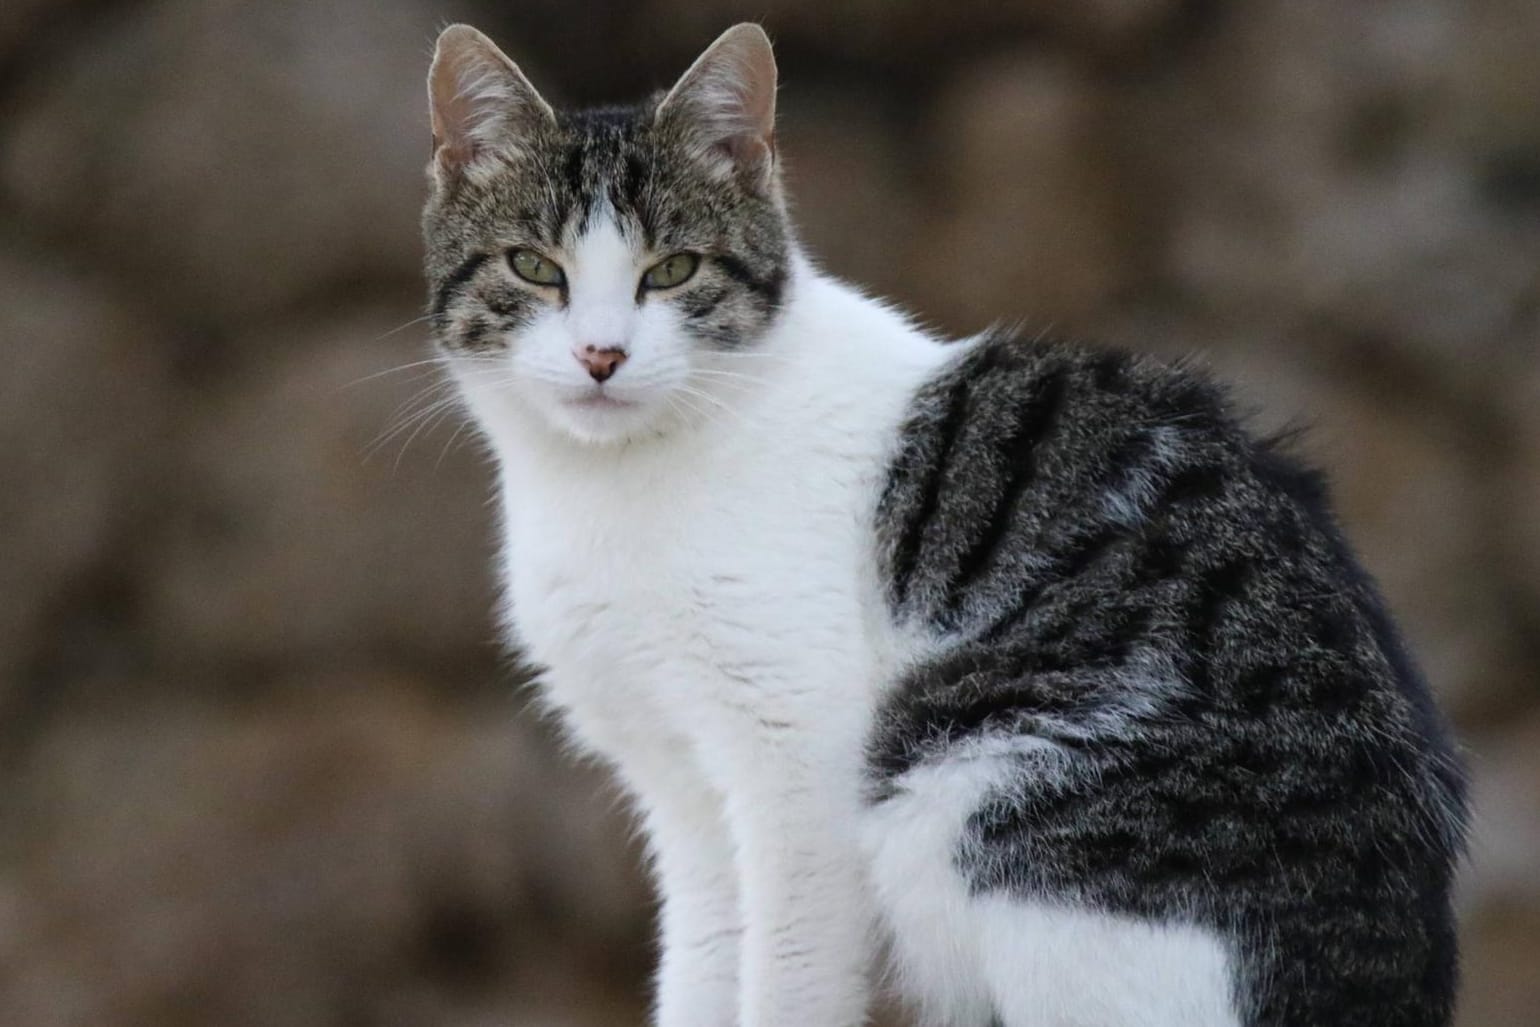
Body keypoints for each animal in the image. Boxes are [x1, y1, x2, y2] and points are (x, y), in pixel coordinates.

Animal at [418, 22, 1466, 1027]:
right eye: (533, 267)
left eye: (672, 270)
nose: (601, 354)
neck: (612, 485)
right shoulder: (680, 790)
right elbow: (706, 961)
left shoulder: (797, 758)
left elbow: (788, 974)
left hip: (971, 774)